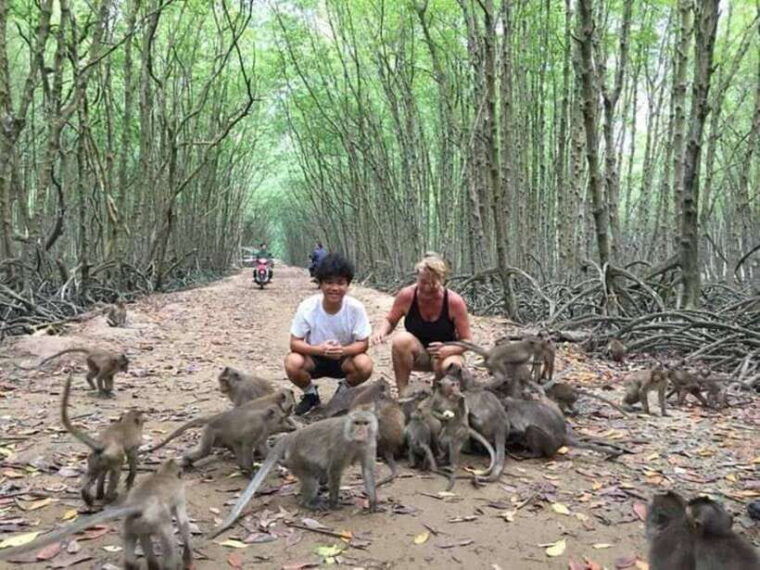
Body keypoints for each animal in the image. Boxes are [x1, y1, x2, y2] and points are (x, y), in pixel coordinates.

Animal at [0, 459, 193, 570]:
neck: (166, 474)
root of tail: (136, 504)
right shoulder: (181, 493)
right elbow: (183, 523)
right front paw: (188, 558)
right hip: (155, 520)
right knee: (167, 535)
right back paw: (171, 565)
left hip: (135, 523)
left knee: (135, 539)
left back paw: (140, 565)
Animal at [62, 374, 144, 507]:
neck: (126, 421)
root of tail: (101, 444)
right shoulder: (134, 444)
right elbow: (132, 459)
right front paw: (131, 479)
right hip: (114, 457)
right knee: (115, 472)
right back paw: (109, 497)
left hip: (94, 459)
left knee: (95, 474)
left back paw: (90, 497)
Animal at [211, 409, 379, 537]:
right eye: (357, 423)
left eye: (365, 423)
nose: (361, 431)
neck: (354, 439)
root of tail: (290, 437)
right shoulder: (341, 444)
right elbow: (335, 470)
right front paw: (334, 503)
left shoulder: (369, 444)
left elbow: (368, 471)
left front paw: (373, 503)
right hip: (297, 460)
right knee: (311, 481)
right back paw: (308, 503)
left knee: (319, 476)